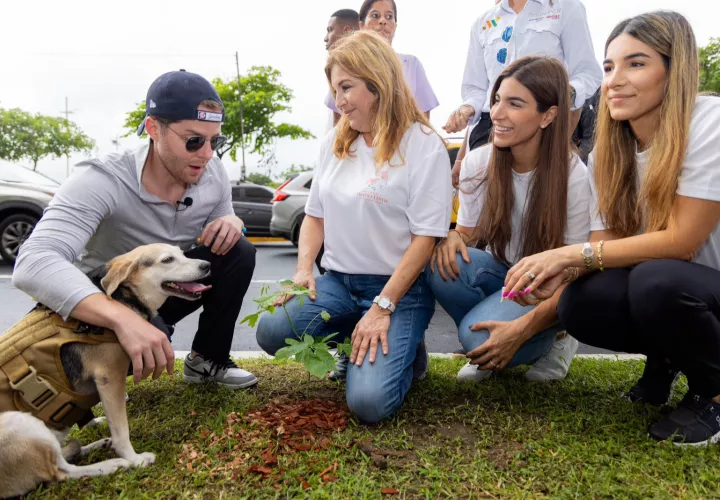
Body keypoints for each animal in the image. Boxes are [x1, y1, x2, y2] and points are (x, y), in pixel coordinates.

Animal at [0, 243, 212, 496]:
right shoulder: (110, 378)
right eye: (168, 260)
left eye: (182, 253)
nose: (207, 265)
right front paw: (135, 459)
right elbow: (122, 431)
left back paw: (97, 442)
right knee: (60, 472)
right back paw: (112, 464)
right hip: (20, 423)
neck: (125, 296)